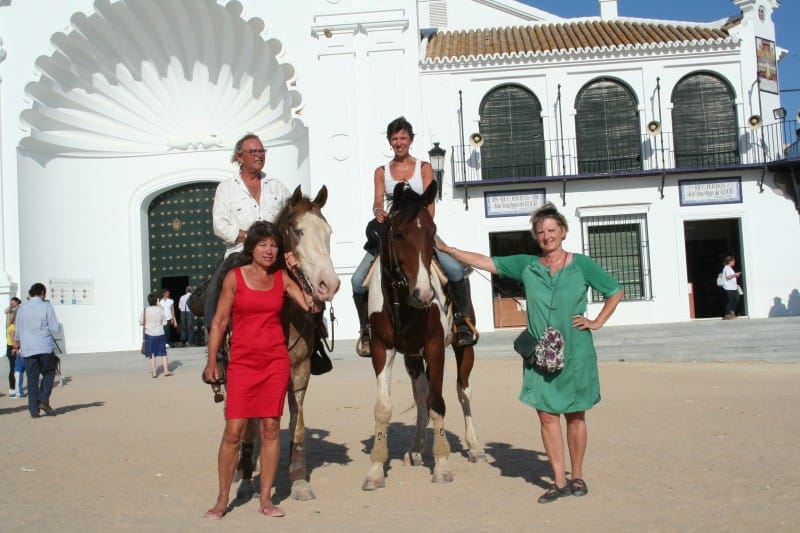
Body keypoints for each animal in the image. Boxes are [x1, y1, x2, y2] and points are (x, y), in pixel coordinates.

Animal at [364, 183, 488, 490]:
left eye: (432, 231)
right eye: (399, 233)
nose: (425, 293)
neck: (402, 301)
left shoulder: (434, 348)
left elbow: (438, 403)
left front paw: (442, 465)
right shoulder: (382, 349)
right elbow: (384, 408)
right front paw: (375, 469)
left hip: (463, 349)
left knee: (462, 391)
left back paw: (475, 446)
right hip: (412, 356)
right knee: (420, 393)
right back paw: (416, 448)